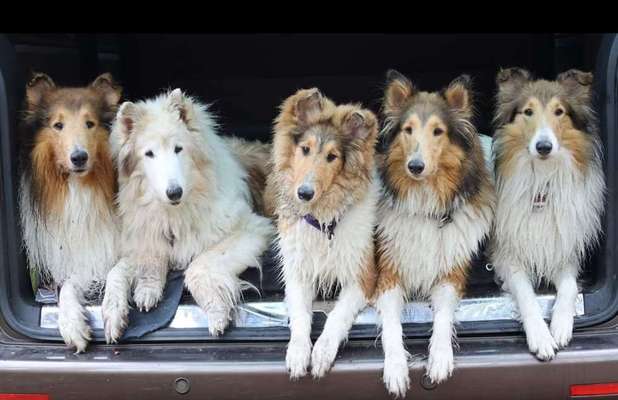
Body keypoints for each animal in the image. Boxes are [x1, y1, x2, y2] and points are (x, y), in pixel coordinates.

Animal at [18, 72, 122, 354]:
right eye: (58, 125)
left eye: (90, 123)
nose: (79, 157)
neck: (79, 187)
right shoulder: (72, 257)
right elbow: (66, 286)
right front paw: (71, 324)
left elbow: (116, 271)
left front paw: (114, 311)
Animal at [101, 89, 272, 342]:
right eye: (149, 154)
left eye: (178, 149)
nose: (174, 192)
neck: (174, 214)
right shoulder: (147, 240)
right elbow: (121, 270)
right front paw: (129, 302)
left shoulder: (251, 229)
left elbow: (198, 266)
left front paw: (217, 312)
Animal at [370, 69, 496, 396]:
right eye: (408, 130)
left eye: (438, 131)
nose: (415, 166)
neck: (426, 203)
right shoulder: (388, 275)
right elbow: (392, 325)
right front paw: (396, 368)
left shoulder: (450, 275)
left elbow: (442, 317)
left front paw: (439, 358)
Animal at [488, 68, 604, 360]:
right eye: (528, 112)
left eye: (559, 111)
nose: (543, 147)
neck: (542, 180)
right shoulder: (507, 254)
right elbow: (526, 293)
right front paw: (541, 336)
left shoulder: (563, 249)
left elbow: (569, 286)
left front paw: (561, 325)